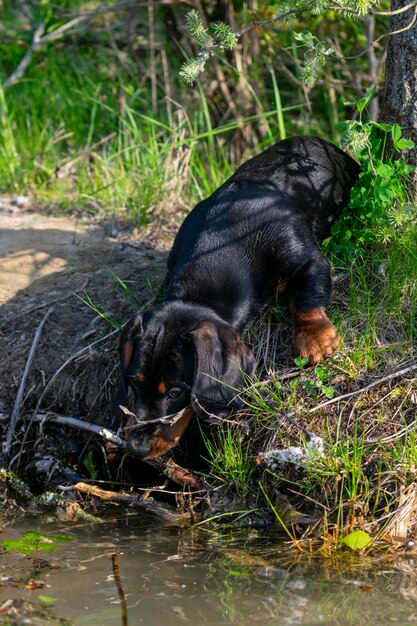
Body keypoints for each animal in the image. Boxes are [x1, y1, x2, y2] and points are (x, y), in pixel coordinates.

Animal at [114, 135, 358, 458]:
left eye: (176, 392)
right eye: (134, 383)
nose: (136, 449)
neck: (222, 243)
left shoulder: (310, 260)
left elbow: (305, 298)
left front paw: (315, 337)